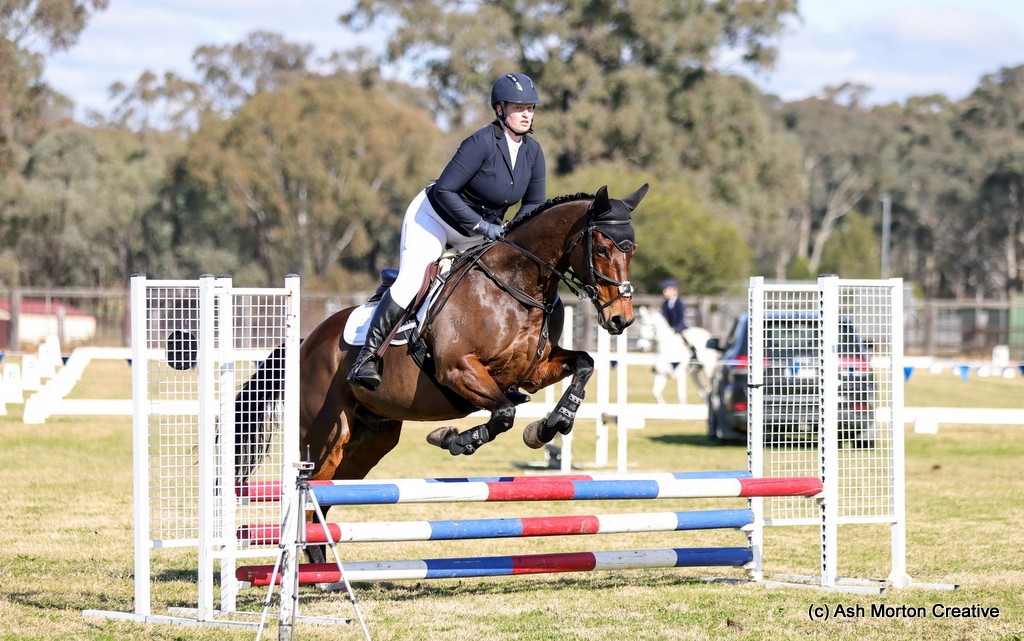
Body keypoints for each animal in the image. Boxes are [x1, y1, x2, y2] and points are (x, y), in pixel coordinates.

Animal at [233, 184, 648, 492]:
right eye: (602, 248)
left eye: (632, 251)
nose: (620, 319)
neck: (515, 285)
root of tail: (304, 344)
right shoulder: (458, 370)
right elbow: (503, 413)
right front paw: (456, 439)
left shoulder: (532, 371)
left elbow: (584, 363)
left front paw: (548, 426)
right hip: (325, 434)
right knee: (312, 486)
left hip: (370, 439)